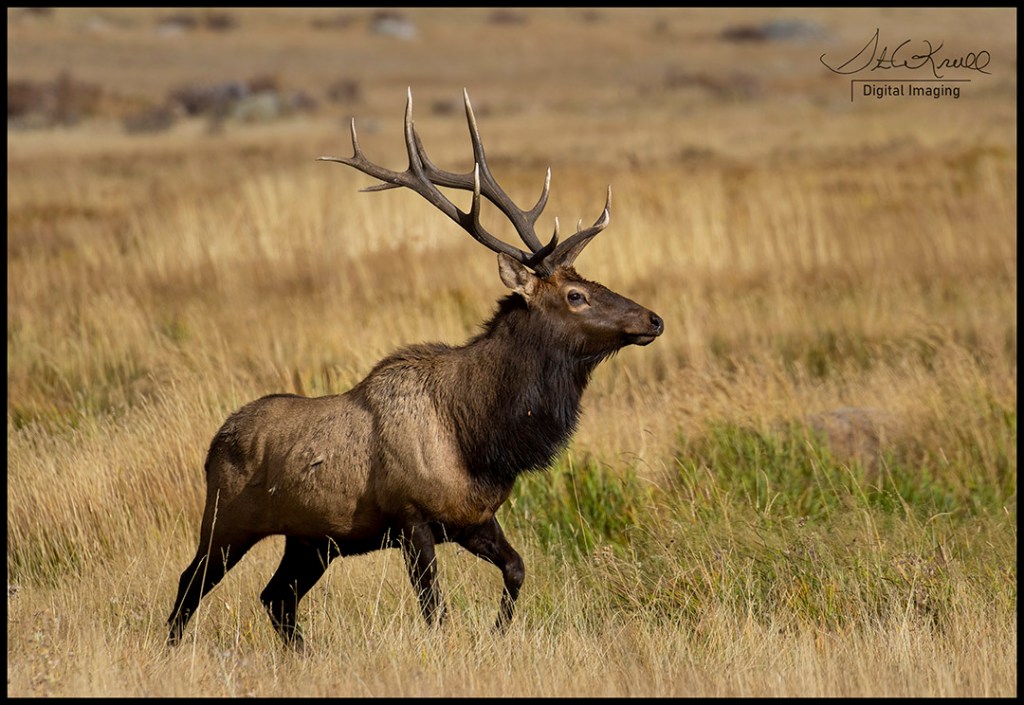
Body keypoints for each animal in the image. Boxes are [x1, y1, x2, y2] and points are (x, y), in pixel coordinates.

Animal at [167, 89, 663, 648]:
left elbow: (517, 569)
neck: (481, 438)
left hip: (311, 541)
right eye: (576, 295)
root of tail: (215, 443)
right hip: (226, 520)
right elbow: (435, 610)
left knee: (277, 597)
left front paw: (498, 632)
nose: (653, 319)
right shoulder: (411, 518)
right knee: (191, 583)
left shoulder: (471, 518)